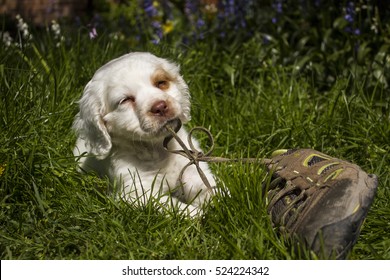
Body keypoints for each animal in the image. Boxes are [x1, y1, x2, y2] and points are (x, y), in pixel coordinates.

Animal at [71, 52, 215, 217]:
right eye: (125, 100)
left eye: (161, 83)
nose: (160, 107)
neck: (157, 148)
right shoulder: (137, 192)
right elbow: (173, 206)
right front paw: (199, 214)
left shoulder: (191, 165)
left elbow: (207, 186)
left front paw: (222, 202)